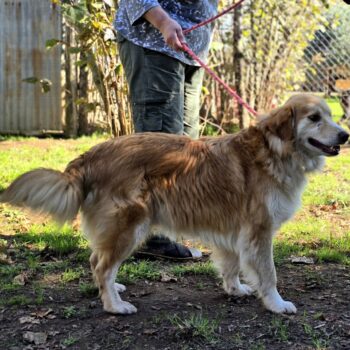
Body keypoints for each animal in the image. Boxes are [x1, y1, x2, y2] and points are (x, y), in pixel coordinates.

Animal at [0, 93, 348, 314]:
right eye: (314, 118)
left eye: (330, 116)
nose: (345, 135)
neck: (275, 150)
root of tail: (88, 156)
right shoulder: (259, 230)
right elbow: (269, 273)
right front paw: (276, 304)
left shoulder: (234, 231)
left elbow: (232, 265)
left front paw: (235, 289)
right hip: (130, 226)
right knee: (101, 265)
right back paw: (114, 306)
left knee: (98, 260)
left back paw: (113, 289)